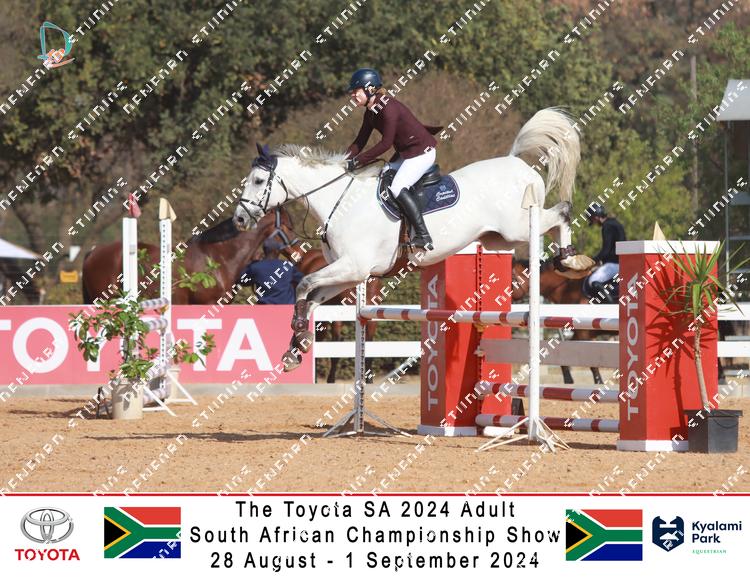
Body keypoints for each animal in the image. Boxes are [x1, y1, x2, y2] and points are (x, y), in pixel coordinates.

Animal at [232, 107, 594, 371]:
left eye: (259, 180)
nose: (238, 219)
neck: (340, 201)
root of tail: (515, 161)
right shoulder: (352, 274)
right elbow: (310, 297)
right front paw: (296, 349)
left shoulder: (353, 267)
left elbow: (304, 285)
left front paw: (297, 334)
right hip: (498, 239)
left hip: (518, 226)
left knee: (562, 212)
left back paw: (571, 259)